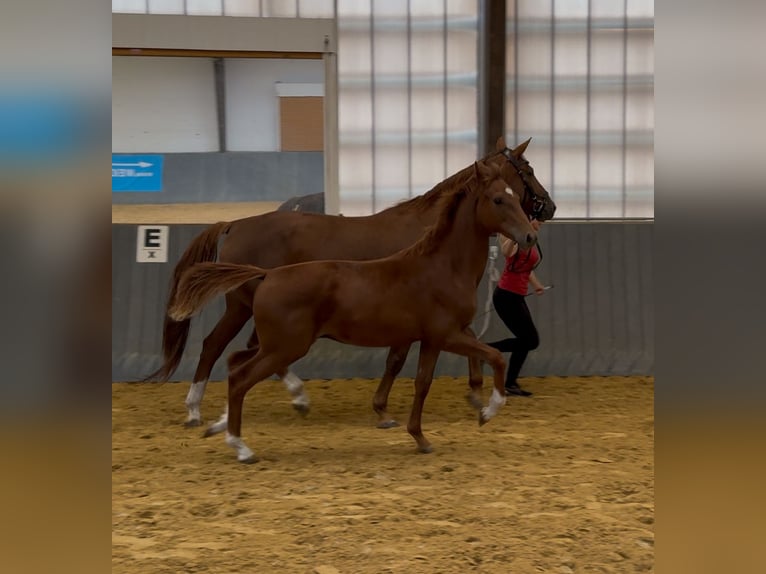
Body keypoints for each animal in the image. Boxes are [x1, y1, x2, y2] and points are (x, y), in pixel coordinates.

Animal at [148, 136, 555, 428]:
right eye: (529, 168)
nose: (549, 207)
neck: (432, 233)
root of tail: (234, 224)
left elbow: (462, 341)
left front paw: (474, 393)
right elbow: (399, 360)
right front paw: (387, 411)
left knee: (245, 350)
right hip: (242, 306)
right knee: (216, 346)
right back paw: (200, 409)